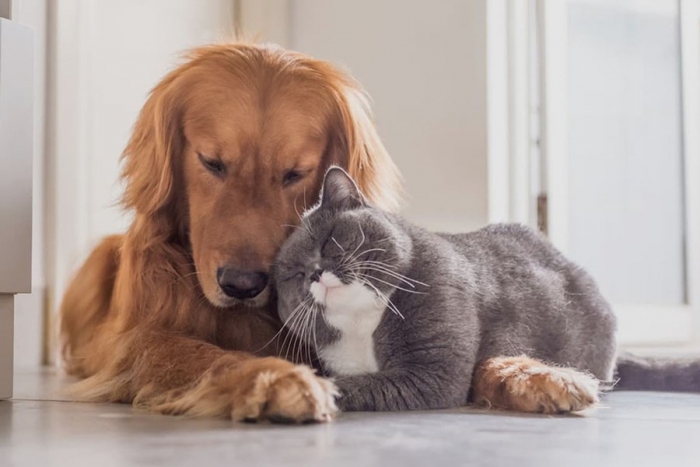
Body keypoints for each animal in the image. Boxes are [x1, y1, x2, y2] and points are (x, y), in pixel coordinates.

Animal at [274, 166, 700, 412]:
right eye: (294, 274)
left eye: (329, 240)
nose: (315, 274)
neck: (364, 324)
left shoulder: (433, 371)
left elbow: (357, 384)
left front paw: (309, 390)